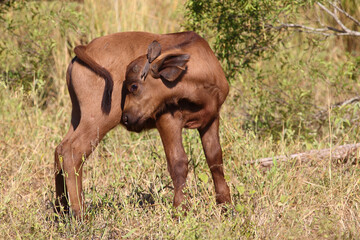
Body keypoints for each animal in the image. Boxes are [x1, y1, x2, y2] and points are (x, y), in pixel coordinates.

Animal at [55, 31, 232, 218]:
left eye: (134, 86)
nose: (126, 117)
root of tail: (85, 49)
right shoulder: (168, 121)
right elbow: (178, 163)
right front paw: (180, 210)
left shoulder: (211, 119)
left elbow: (215, 159)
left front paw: (226, 206)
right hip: (97, 121)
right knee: (72, 152)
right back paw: (79, 214)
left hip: (77, 117)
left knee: (60, 149)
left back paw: (60, 210)